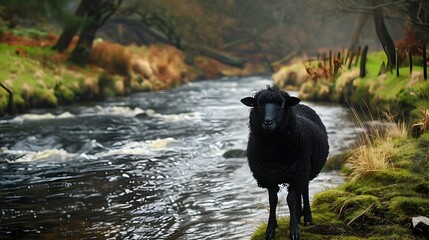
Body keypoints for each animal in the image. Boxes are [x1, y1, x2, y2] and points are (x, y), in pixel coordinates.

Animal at [241, 86, 328, 240]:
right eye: (258, 105)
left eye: (281, 106)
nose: (268, 122)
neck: (275, 155)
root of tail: (299, 104)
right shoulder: (268, 176)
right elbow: (273, 200)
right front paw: (271, 229)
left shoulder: (297, 173)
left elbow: (291, 199)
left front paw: (293, 230)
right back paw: (299, 216)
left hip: (304, 170)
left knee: (304, 190)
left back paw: (306, 217)